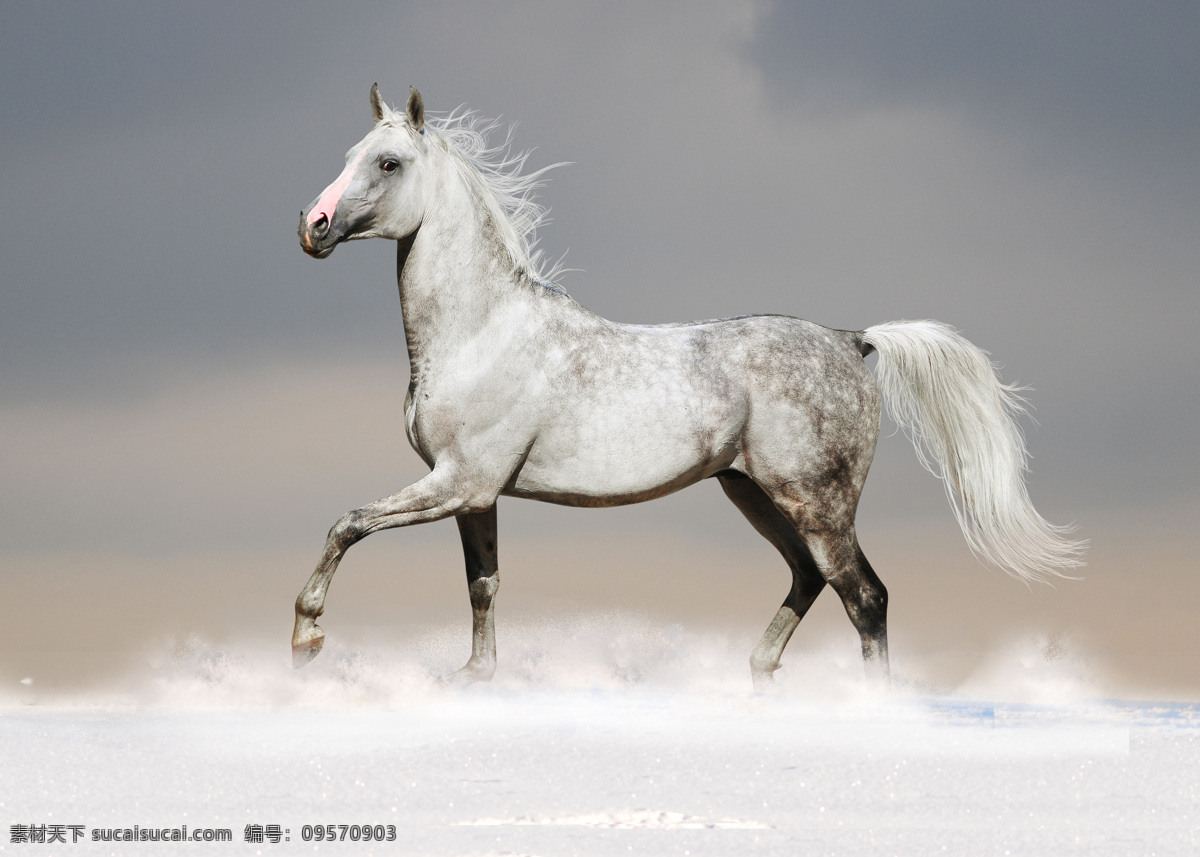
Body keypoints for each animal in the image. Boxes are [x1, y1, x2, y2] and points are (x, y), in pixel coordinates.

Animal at [292, 84, 1085, 690]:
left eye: (388, 161)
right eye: (348, 156)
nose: (314, 226)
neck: (479, 332)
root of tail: (850, 339)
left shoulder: (460, 481)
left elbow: (347, 523)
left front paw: (306, 638)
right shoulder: (475, 493)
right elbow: (481, 584)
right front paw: (475, 676)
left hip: (818, 502)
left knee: (865, 595)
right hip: (752, 492)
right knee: (810, 579)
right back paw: (756, 675)